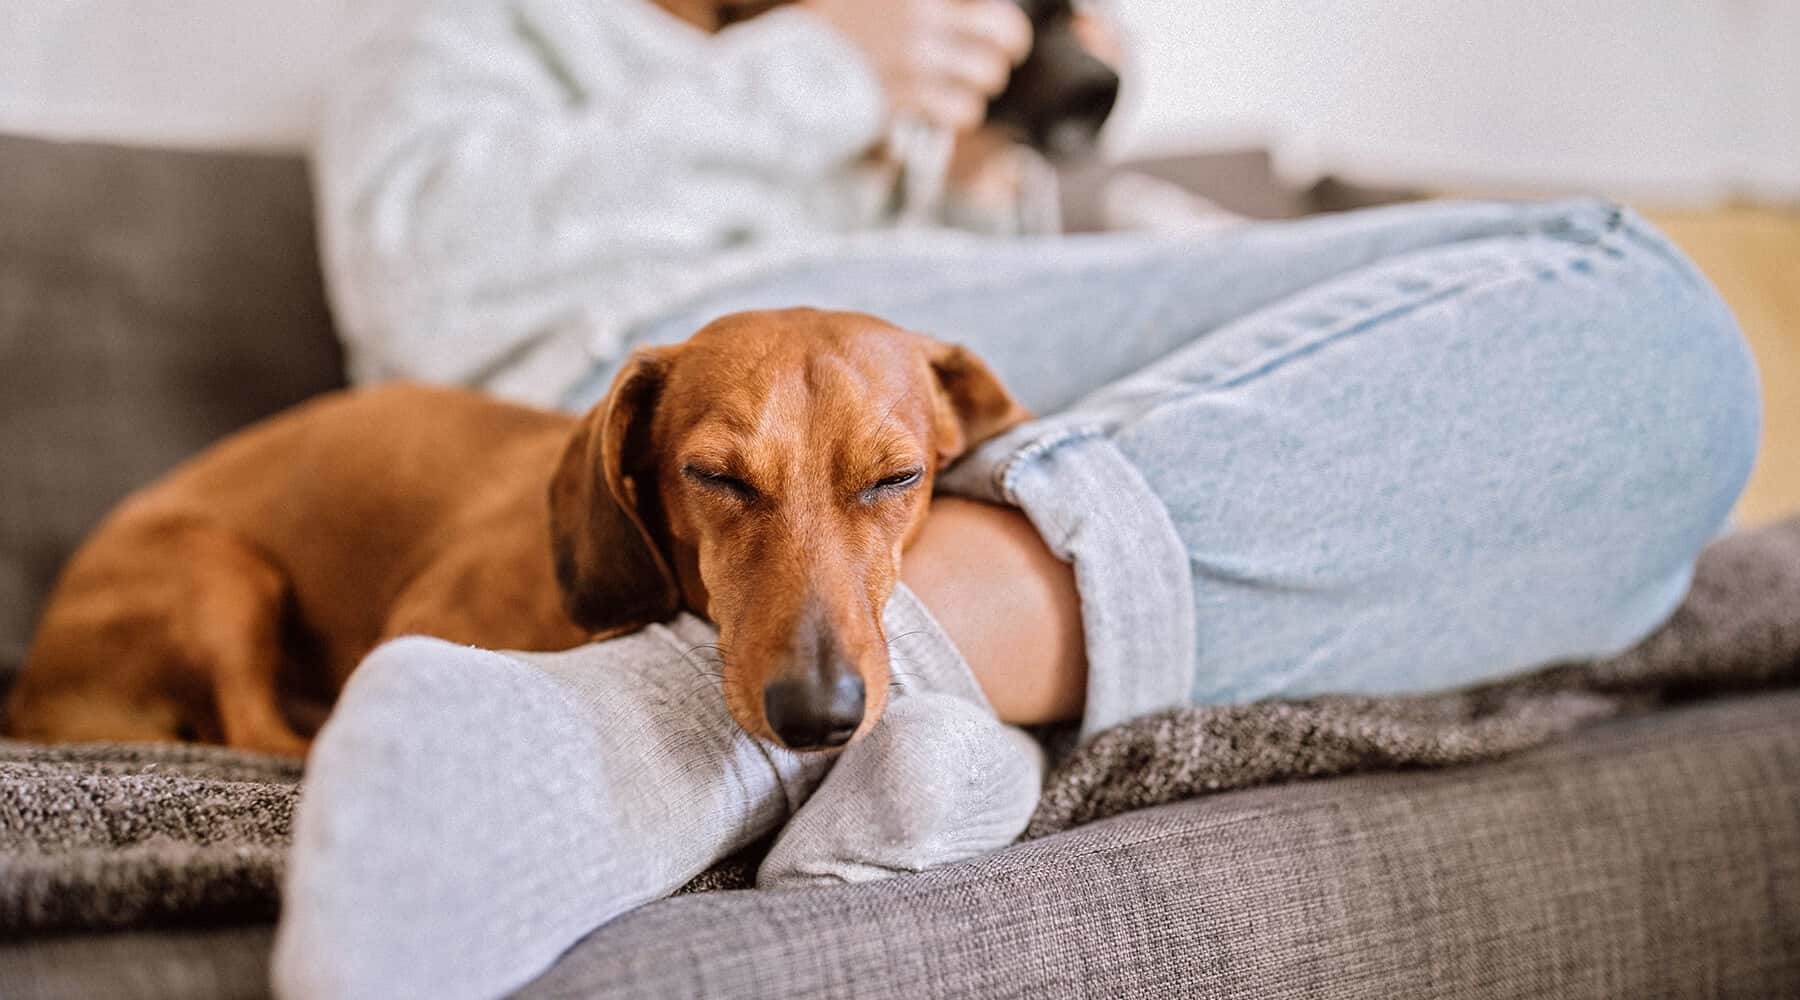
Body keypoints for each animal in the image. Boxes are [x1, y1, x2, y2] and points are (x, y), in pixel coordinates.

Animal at [3, 309, 1029, 755]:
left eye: (898, 478)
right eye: (714, 477)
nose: (820, 718)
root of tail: (33, 689)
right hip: (219, 572)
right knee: (257, 734)